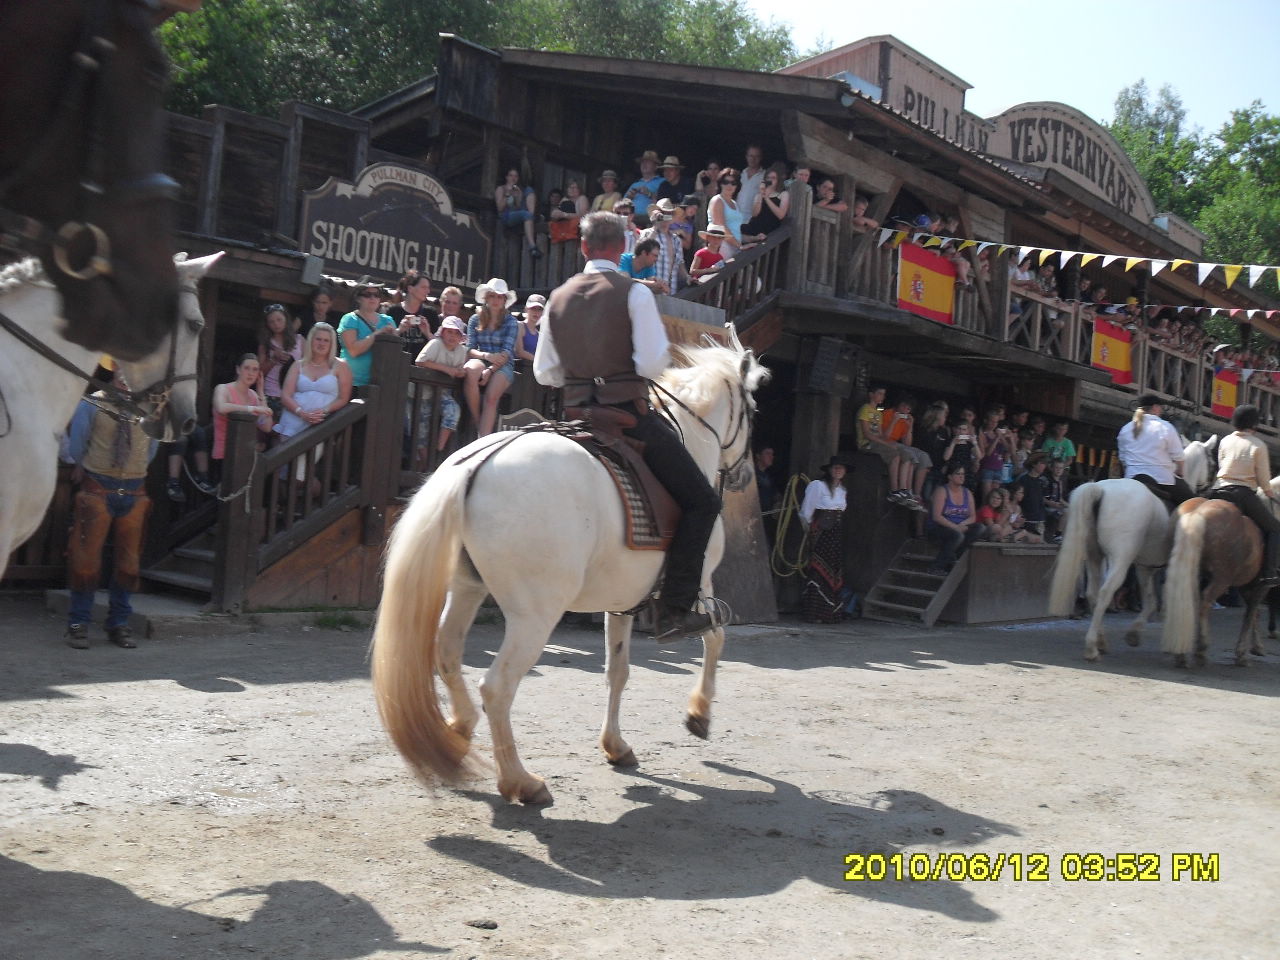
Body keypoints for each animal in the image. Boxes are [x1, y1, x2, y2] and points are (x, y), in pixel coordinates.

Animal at [371, 331, 767, 805]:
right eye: (753, 411)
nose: (745, 475)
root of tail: (475, 465)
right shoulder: (701, 585)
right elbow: (716, 639)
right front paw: (699, 713)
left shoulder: (622, 603)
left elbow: (618, 671)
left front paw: (616, 745)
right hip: (534, 616)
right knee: (497, 687)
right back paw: (520, 780)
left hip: (467, 589)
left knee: (447, 653)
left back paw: (460, 725)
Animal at [1047, 437, 1216, 661]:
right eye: (1212, 463)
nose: (1210, 490)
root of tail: (1100, 490)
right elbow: (1165, 601)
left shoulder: (1145, 566)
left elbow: (1151, 601)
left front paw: (1134, 634)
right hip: (1120, 559)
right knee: (1105, 592)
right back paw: (1092, 647)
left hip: (1095, 556)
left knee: (1093, 593)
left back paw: (1101, 640)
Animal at [1162, 495, 1272, 668]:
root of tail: (1197, 513)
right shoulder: (1260, 586)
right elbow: (1251, 613)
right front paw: (1242, 654)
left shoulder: (1246, 586)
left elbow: (1254, 613)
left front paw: (1256, 647)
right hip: (1221, 579)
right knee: (1204, 603)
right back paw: (1200, 650)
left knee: (1188, 601)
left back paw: (1182, 653)